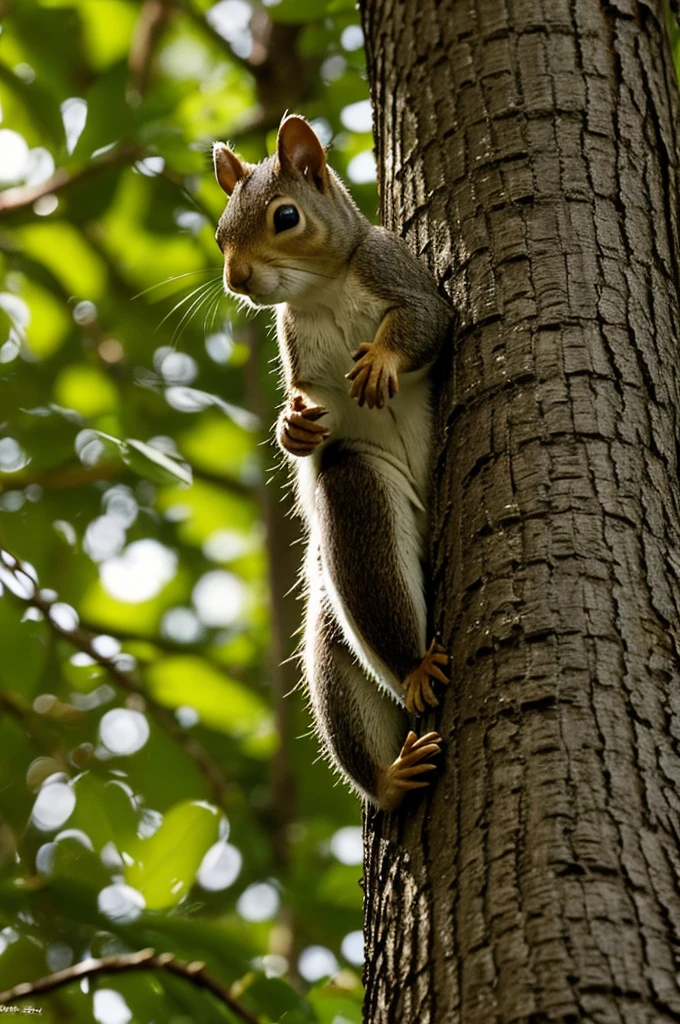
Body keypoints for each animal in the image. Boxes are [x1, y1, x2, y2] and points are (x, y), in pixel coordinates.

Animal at [215, 116, 454, 811]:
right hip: (335, 609)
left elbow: (426, 323)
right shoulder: (302, 362)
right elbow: (307, 415)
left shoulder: (398, 275)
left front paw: (381, 361)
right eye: (218, 233)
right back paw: (394, 768)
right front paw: (291, 428)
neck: (320, 292)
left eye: (286, 216)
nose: (236, 280)